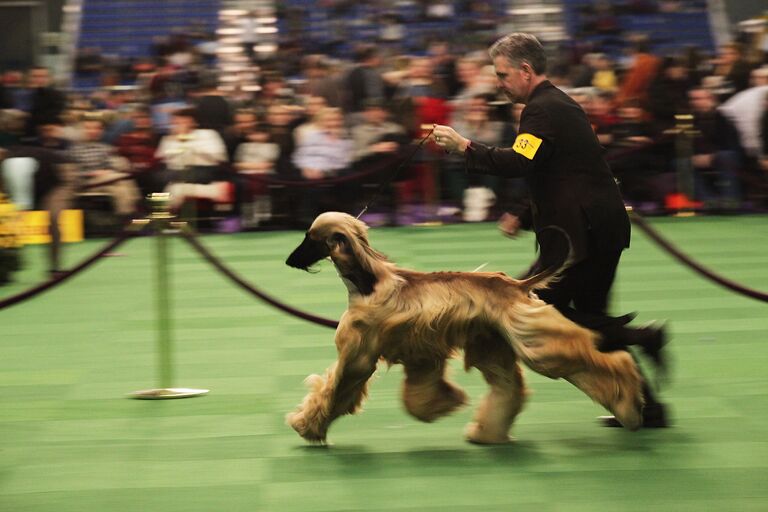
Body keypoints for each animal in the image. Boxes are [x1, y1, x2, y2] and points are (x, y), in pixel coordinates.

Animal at [282, 212, 640, 444]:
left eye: (309, 238)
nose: (288, 261)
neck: (367, 282)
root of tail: (518, 285)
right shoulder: (420, 353)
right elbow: (419, 395)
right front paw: (443, 405)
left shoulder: (358, 355)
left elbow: (334, 389)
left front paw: (306, 427)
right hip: (492, 346)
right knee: (508, 388)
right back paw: (486, 434)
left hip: (534, 341)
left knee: (606, 359)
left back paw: (629, 406)